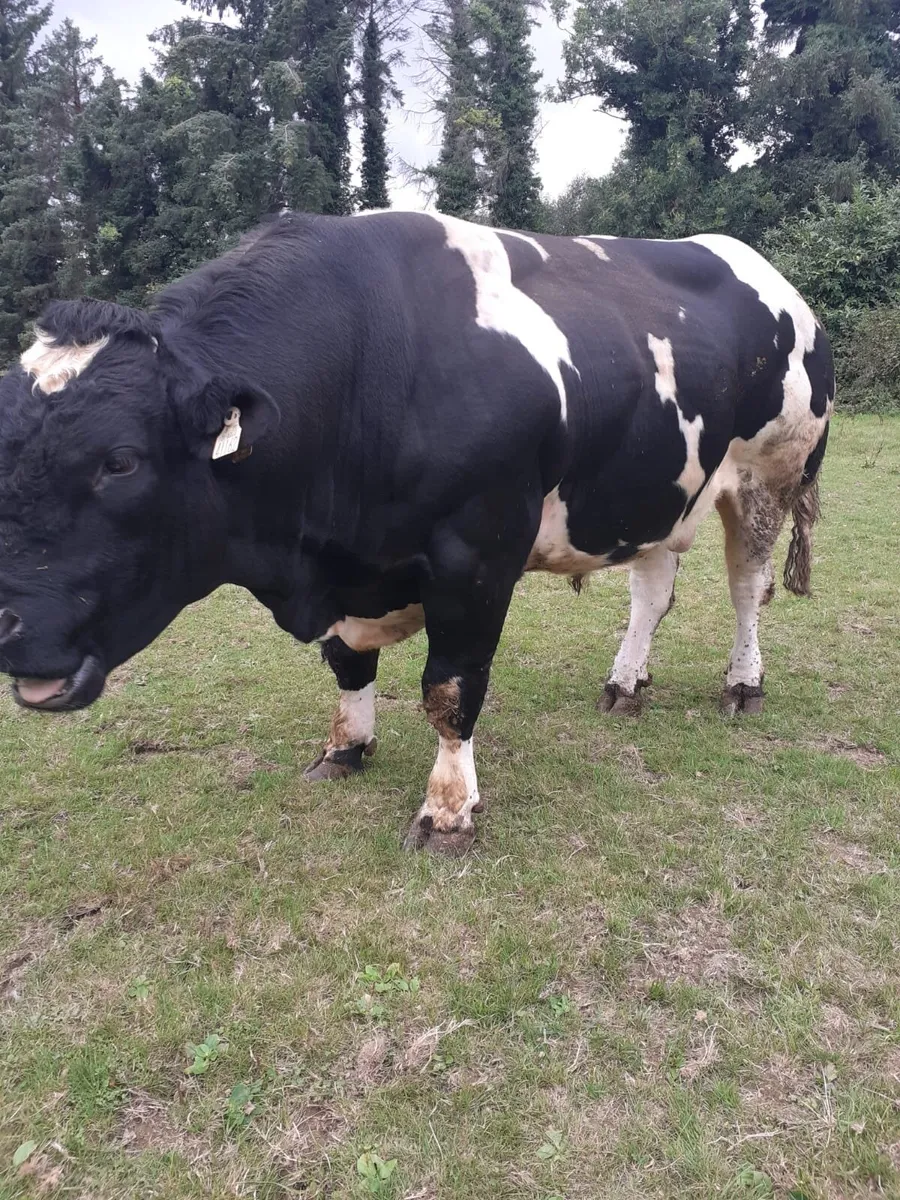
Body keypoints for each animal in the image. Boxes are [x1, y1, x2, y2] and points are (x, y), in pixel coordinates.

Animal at [0, 211, 833, 854]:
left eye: (120, 460)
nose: (6, 624)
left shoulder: (478, 553)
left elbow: (450, 689)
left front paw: (448, 810)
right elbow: (346, 665)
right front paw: (345, 746)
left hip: (768, 476)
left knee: (746, 589)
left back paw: (742, 683)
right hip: (655, 492)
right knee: (651, 594)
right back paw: (625, 683)